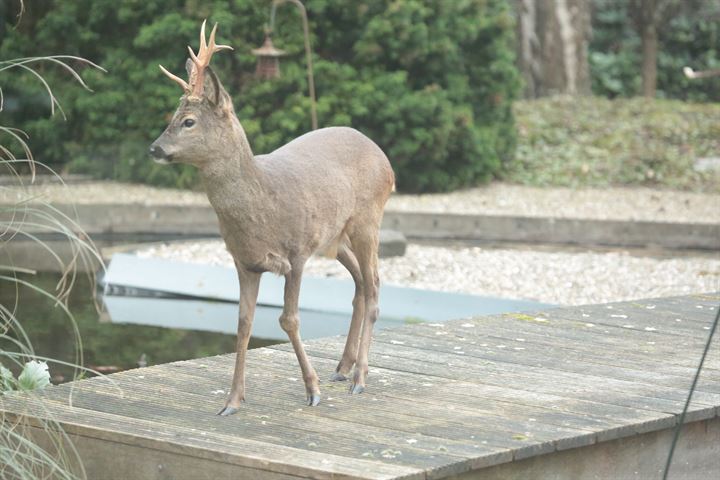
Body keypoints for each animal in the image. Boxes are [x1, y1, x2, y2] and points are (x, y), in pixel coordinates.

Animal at [148, 20, 390, 414]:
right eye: (171, 118)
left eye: (188, 121)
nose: (154, 148)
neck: (262, 204)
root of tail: (384, 158)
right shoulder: (244, 261)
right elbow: (244, 323)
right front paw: (232, 401)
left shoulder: (297, 251)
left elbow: (288, 319)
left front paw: (312, 390)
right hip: (335, 237)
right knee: (358, 284)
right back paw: (342, 367)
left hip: (368, 219)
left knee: (373, 285)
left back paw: (359, 378)